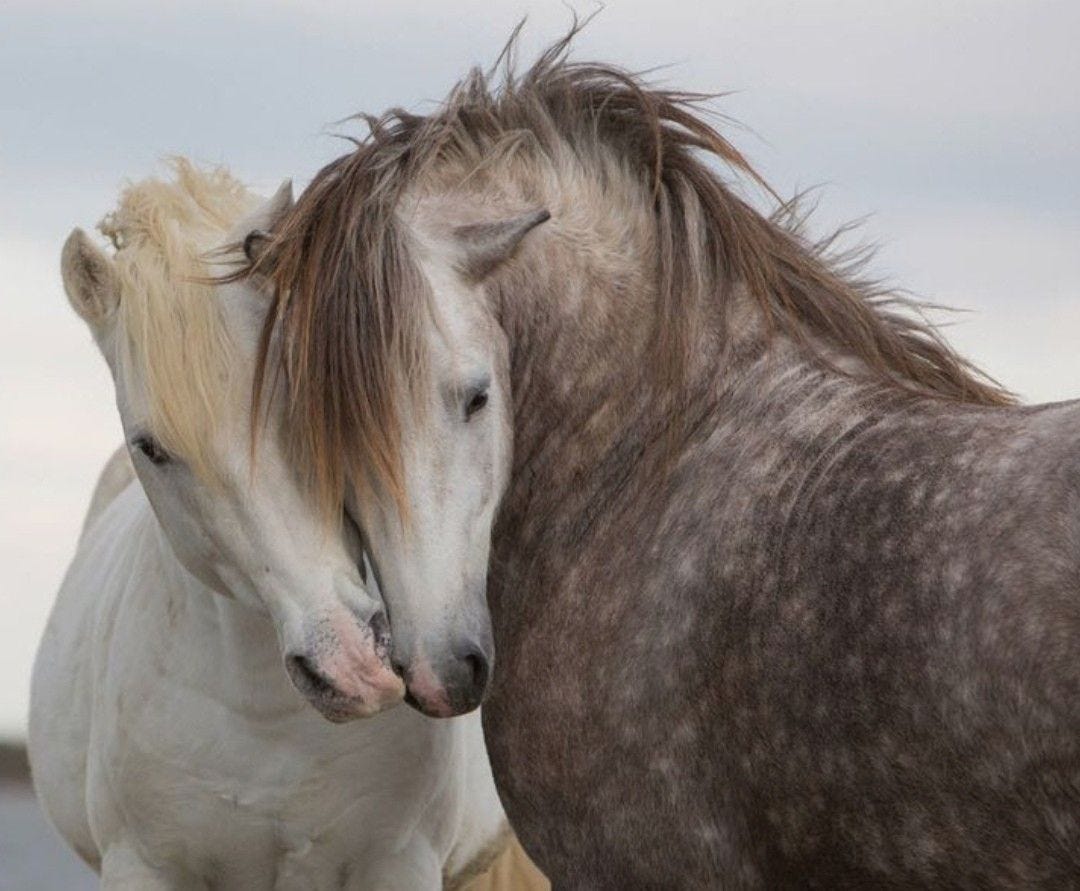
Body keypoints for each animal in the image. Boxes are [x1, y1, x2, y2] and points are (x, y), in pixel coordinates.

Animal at [27, 160, 521, 890]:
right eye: (151, 446)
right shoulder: (142, 865)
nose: (349, 663)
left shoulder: (399, 863)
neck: (268, 723)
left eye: (306, 391)